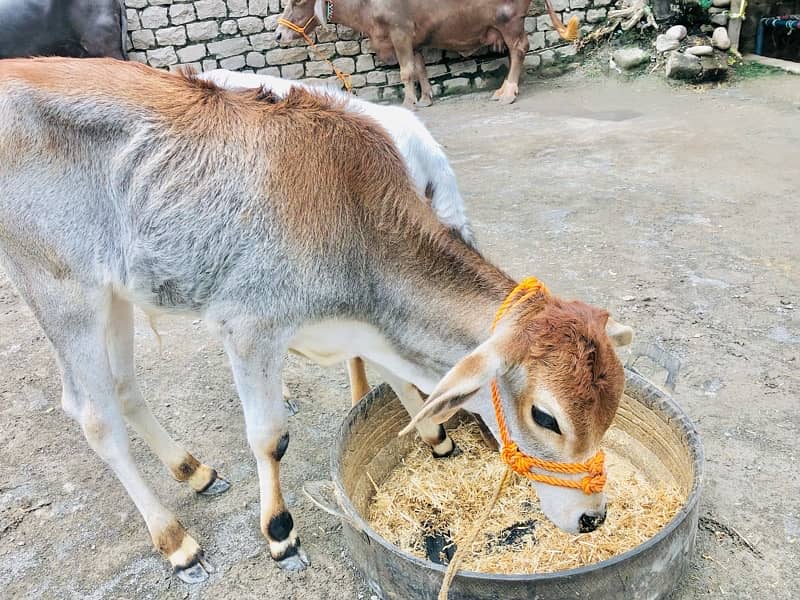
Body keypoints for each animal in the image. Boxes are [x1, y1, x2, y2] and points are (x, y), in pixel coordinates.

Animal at [0, 58, 632, 584]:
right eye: (546, 417)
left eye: (612, 407)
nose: (593, 518)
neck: (355, 220)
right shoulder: (250, 327)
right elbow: (269, 437)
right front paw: (281, 535)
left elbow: (396, 380)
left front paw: (435, 435)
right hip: (61, 289)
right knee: (94, 415)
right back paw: (176, 541)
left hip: (116, 292)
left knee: (125, 386)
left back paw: (194, 470)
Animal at [278, 0, 580, 108]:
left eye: (296, 1)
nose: (278, 35)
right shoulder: (413, 40)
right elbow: (420, 68)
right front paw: (426, 98)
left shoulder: (399, 32)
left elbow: (406, 71)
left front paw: (409, 102)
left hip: (510, 20)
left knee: (519, 49)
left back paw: (508, 92)